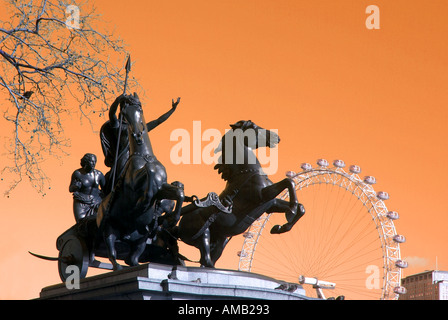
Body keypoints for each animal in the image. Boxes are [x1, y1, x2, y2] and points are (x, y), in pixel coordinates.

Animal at [96, 93, 184, 270]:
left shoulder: (162, 187)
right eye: (125, 113)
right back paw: (117, 267)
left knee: (133, 258)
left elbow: (179, 192)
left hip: (141, 238)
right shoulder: (134, 184)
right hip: (109, 230)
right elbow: (148, 176)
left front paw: (173, 218)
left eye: (140, 109)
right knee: (112, 252)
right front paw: (142, 205)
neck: (145, 157)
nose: (137, 135)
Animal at [177, 120, 306, 268]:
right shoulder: (262, 195)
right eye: (254, 127)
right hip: (203, 233)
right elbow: (289, 181)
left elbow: (301, 207)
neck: (247, 172)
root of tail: (178, 226)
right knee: (206, 260)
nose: (276, 137)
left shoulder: (270, 204)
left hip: (221, 240)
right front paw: (291, 211)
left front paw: (281, 227)